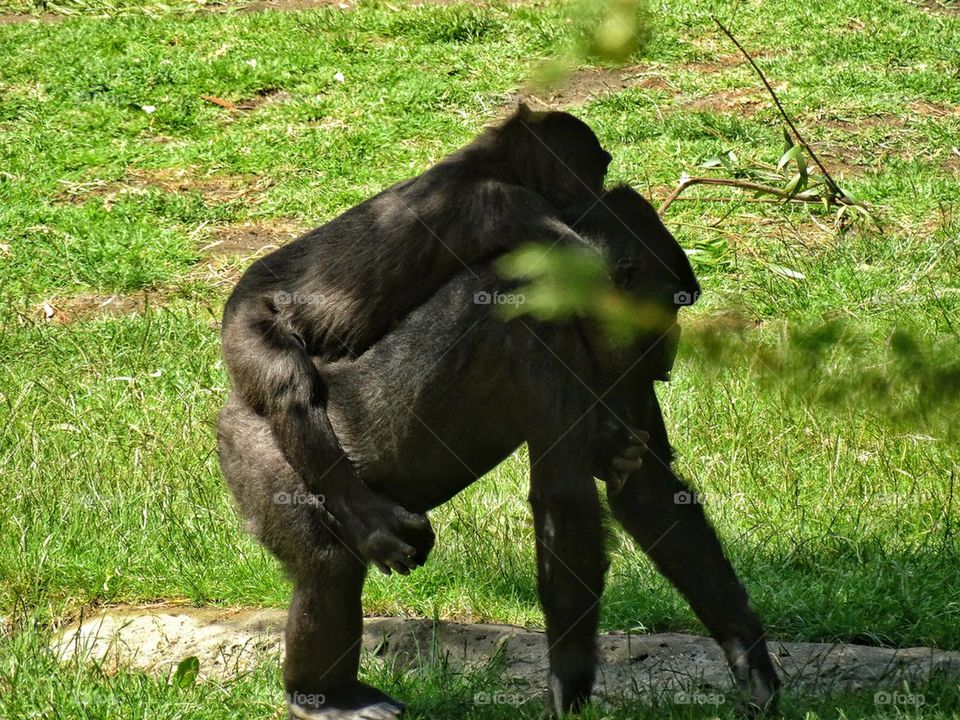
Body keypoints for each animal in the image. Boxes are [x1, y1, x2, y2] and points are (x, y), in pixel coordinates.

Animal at [218, 184, 780, 716]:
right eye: (671, 303)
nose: (673, 340)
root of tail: (236, 408)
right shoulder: (544, 324)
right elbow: (566, 502)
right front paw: (568, 687)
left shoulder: (625, 362)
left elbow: (651, 493)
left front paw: (750, 661)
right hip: (259, 451)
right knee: (327, 568)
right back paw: (320, 696)